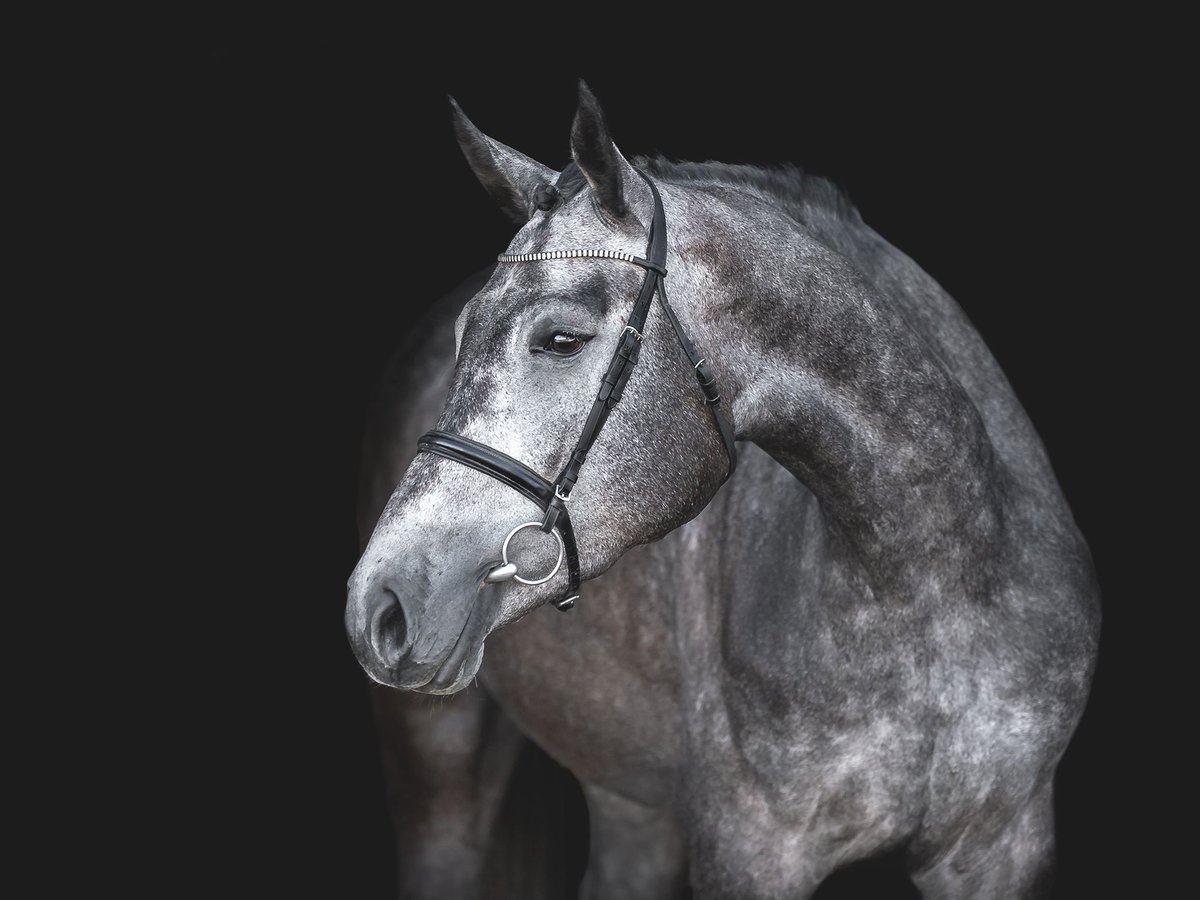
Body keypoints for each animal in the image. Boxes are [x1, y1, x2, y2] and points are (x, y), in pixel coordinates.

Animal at [345, 81, 1099, 897]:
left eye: (560, 339)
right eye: (461, 338)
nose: (379, 604)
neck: (932, 586)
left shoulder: (1001, 850)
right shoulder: (751, 849)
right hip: (438, 772)